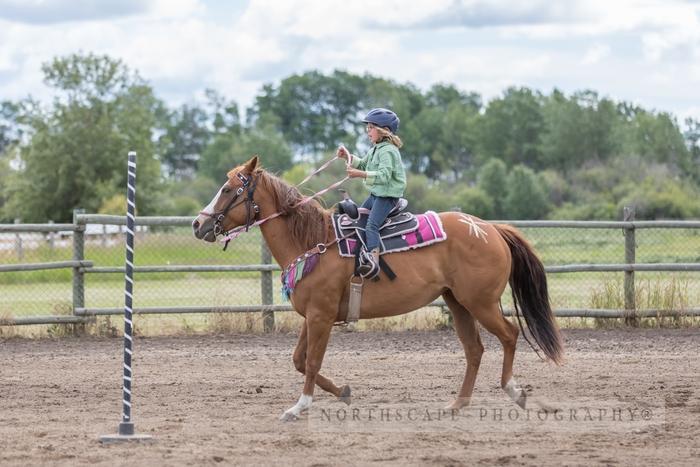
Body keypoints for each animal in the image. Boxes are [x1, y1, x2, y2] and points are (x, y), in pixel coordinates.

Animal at [191, 156, 564, 420]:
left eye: (228, 189)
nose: (197, 224)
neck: (314, 241)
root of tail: (491, 229)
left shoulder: (322, 315)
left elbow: (311, 362)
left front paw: (299, 407)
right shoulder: (313, 315)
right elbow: (299, 360)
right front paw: (343, 392)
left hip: (481, 303)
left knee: (509, 335)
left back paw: (515, 392)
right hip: (457, 302)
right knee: (474, 349)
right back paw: (457, 404)